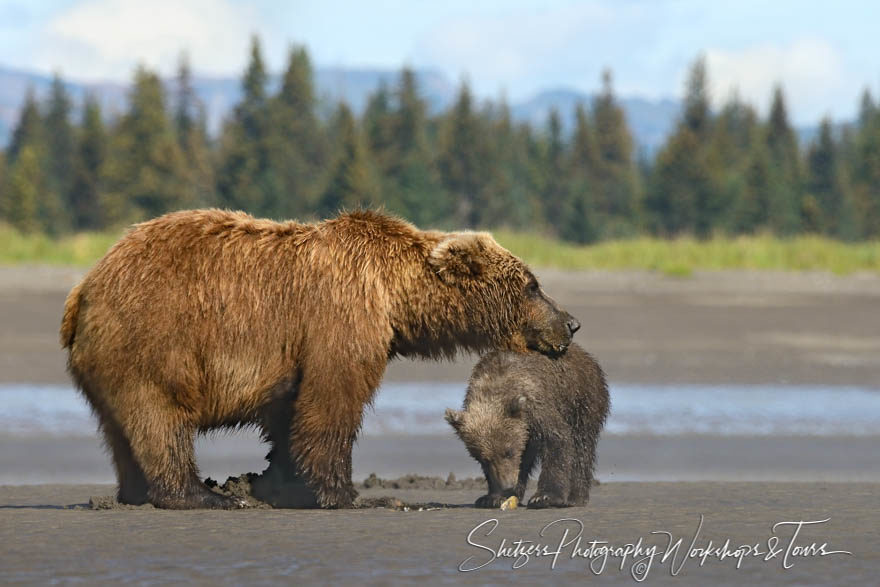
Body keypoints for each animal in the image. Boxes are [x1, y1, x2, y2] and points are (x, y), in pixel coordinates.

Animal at [63, 210, 584, 510]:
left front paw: (277, 484)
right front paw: (352, 495)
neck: (395, 296)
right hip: (155, 339)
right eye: (532, 285)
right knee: (160, 418)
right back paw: (198, 495)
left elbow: (286, 415)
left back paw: (135, 492)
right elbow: (331, 403)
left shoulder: (292, 358)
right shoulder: (340, 320)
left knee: (120, 429)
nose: (571, 323)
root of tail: (84, 287)